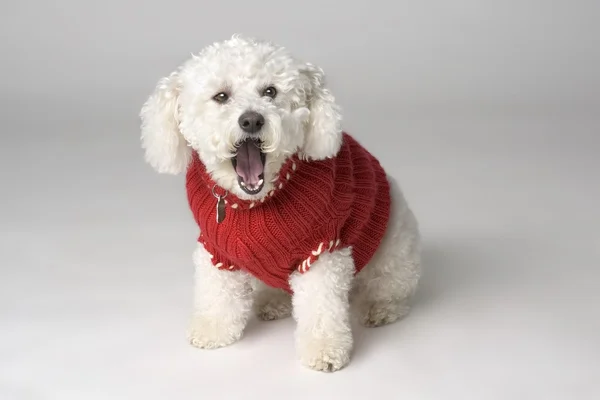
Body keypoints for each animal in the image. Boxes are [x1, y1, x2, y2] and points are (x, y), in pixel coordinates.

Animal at [139, 33, 422, 372]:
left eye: (270, 92)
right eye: (221, 96)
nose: (251, 120)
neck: (253, 203)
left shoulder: (321, 252)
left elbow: (321, 309)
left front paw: (324, 349)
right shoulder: (216, 248)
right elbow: (216, 293)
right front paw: (213, 328)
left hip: (394, 248)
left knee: (391, 287)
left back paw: (380, 307)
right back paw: (274, 301)